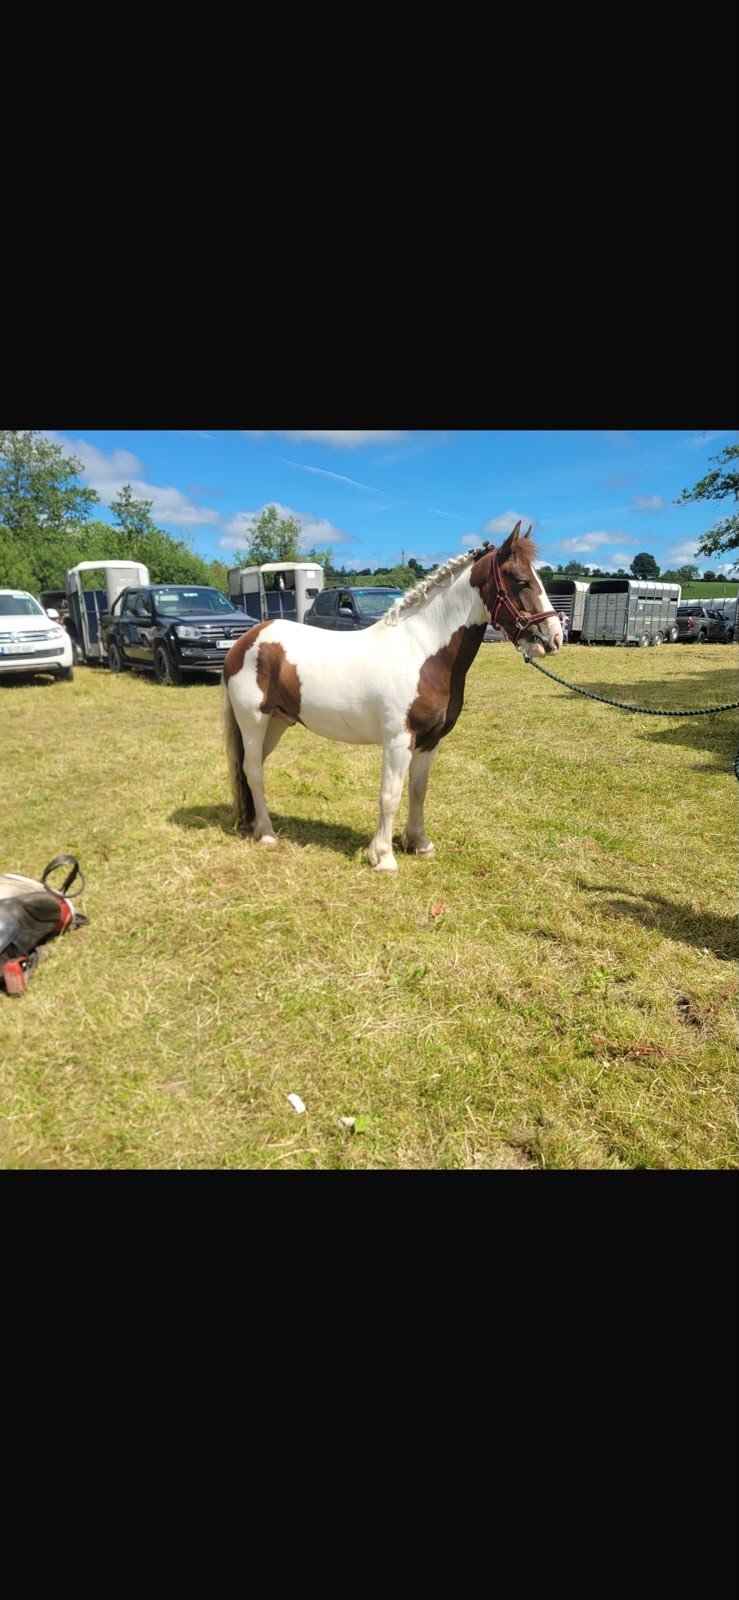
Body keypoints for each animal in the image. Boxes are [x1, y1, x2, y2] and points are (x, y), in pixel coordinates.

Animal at [222, 522, 563, 870]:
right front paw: (383, 856)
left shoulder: (429, 741)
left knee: (253, 767)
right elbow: (390, 795)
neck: (423, 652)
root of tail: (246, 640)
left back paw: (255, 824)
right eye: (521, 581)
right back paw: (266, 833)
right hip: (253, 721)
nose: (554, 638)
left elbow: (417, 791)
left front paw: (419, 843)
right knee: (252, 770)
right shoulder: (399, 741)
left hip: (276, 722)